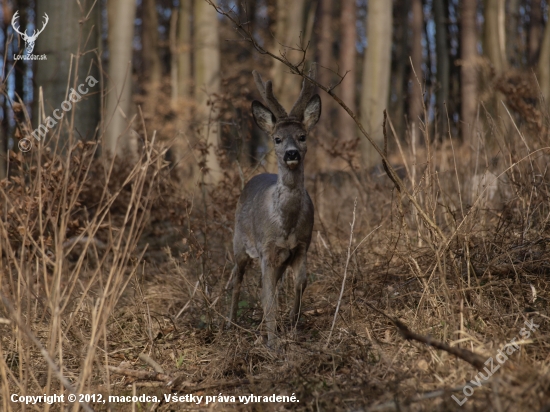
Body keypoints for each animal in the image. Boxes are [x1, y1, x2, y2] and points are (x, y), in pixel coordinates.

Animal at [230, 65, 324, 348]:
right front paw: (273, 342)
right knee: (236, 279)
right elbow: (267, 296)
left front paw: (292, 324)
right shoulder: (267, 249)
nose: (292, 154)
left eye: (303, 136)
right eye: (277, 138)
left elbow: (300, 283)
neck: (286, 223)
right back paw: (229, 323)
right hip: (238, 242)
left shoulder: (302, 245)